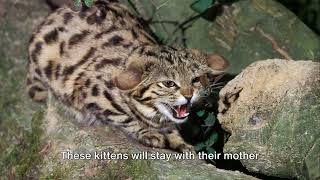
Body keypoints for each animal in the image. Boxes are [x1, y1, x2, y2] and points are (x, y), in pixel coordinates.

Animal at [26, 0, 228, 152]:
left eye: (195, 80)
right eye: (169, 83)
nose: (189, 96)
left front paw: (180, 142)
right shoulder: (89, 92)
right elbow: (123, 117)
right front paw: (149, 133)